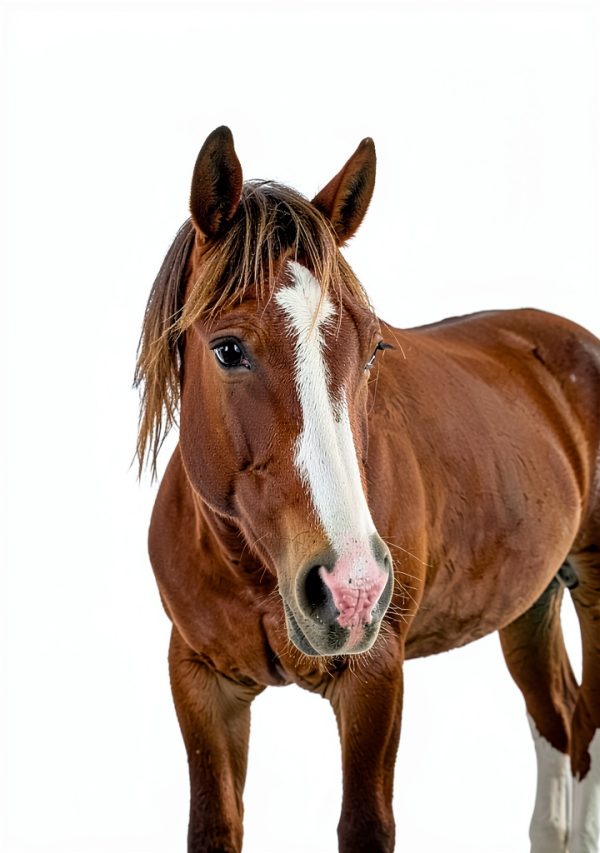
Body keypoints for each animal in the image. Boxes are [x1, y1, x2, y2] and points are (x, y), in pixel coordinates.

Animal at [135, 126, 600, 853]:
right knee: (558, 719)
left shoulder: (375, 676)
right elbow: (215, 825)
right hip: (530, 602)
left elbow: (365, 824)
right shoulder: (199, 680)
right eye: (229, 349)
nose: (352, 586)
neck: (252, 569)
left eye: (374, 346)